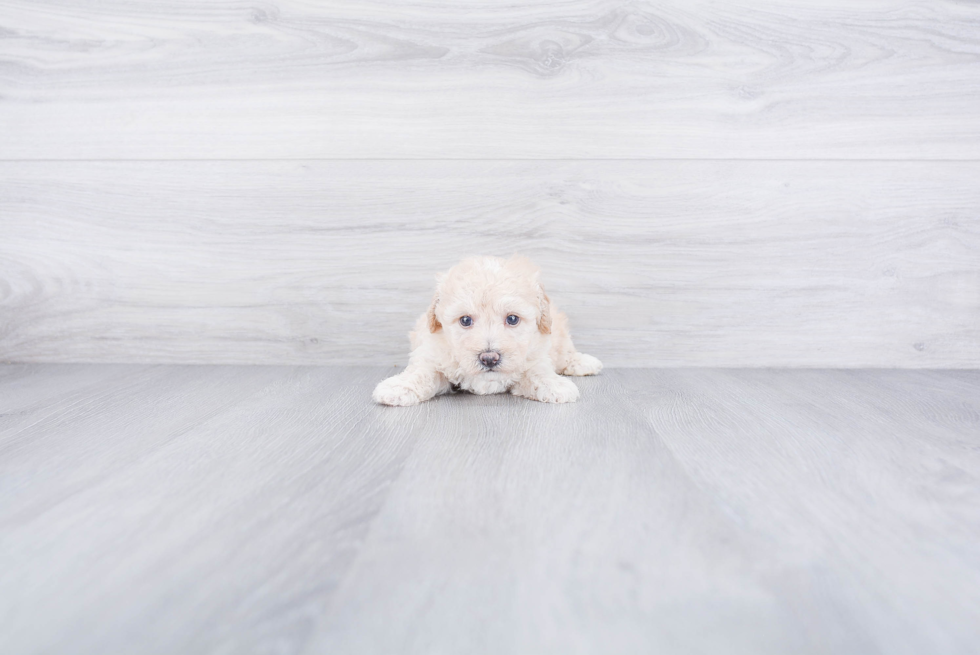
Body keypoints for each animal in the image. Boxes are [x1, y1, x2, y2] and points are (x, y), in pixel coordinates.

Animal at [376, 256, 604, 404]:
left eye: (512, 319)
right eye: (465, 320)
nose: (489, 358)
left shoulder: (536, 353)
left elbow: (537, 371)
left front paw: (554, 385)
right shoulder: (433, 352)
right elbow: (421, 371)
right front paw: (399, 387)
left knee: (565, 351)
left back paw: (583, 362)